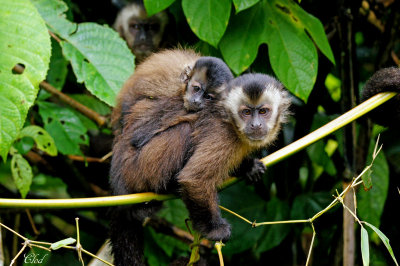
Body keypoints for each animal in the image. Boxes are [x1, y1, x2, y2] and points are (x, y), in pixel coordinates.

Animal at [109, 72, 290, 266]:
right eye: (246, 112)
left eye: (263, 111)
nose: (256, 125)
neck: (232, 123)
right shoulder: (223, 135)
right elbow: (194, 179)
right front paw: (213, 230)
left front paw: (248, 167)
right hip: (137, 169)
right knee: (184, 129)